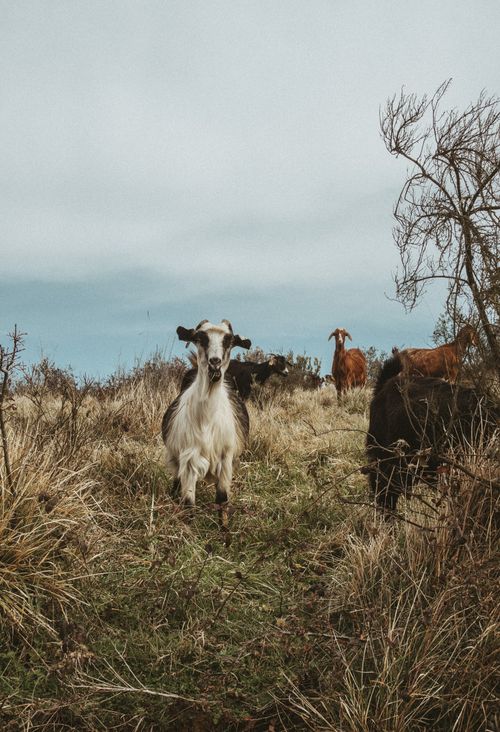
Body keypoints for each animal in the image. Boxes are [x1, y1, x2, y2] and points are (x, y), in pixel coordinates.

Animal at [161, 320, 251, 523]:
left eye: (229, 340)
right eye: (199, 338)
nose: (214, 363)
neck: (207, 422)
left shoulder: (226, 460)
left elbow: (222, 501)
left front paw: (224, 532)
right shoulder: (189, 460)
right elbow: (189, 504)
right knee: (176, 483)